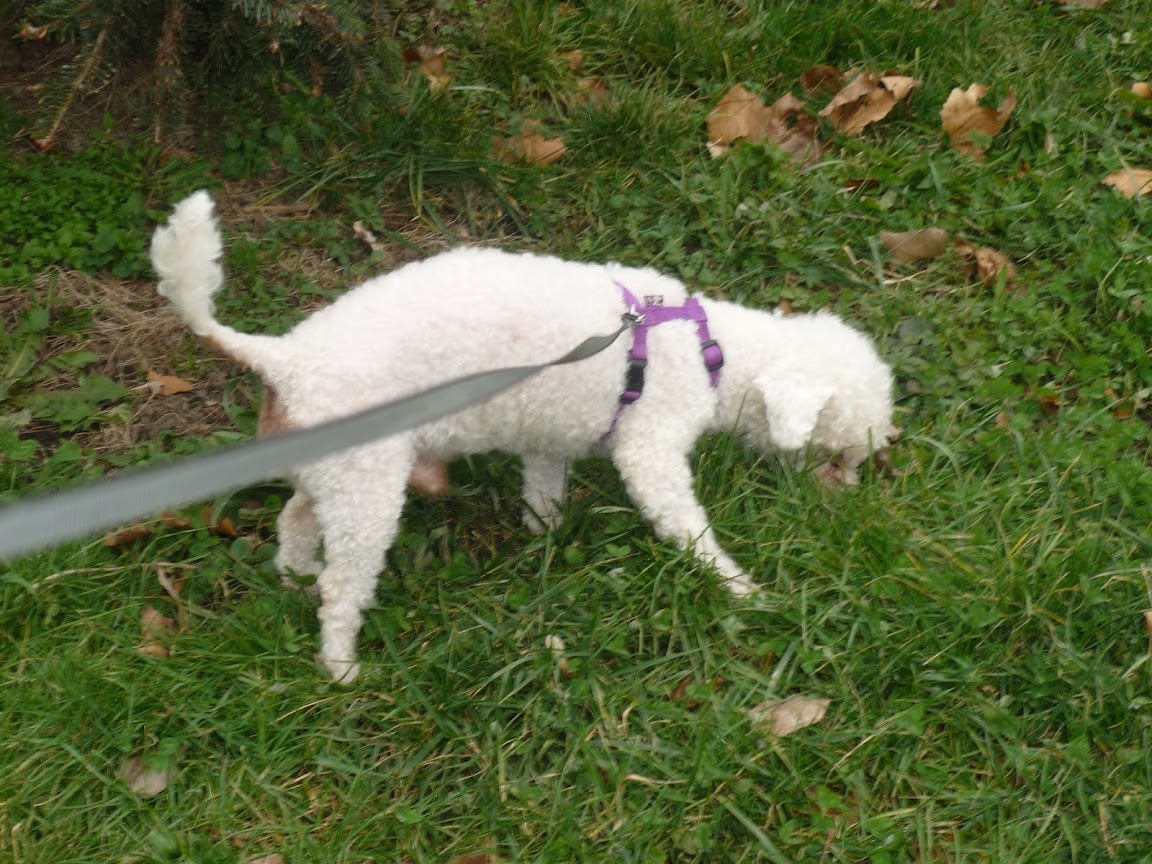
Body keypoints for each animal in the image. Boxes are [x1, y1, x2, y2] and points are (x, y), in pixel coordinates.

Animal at [150, 192, 889, 686]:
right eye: (844, 451)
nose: (857, 490)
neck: (709, 348)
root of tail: (283, 359)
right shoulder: (651, 449)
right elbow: (685, 525)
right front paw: (741, 587)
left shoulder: (549, 434)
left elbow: (543, 485)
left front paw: (545, 533)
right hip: (367, 489)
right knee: (343, 584)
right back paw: (341, 665)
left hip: (335, 468)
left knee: (296, 517)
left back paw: (295, 574)